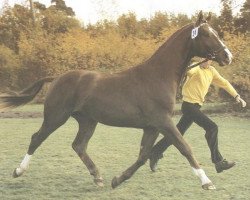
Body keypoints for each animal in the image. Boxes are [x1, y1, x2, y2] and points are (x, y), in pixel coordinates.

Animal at [0, 11, 232, 190]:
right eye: (207, 34)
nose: (228, 56)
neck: (158, 76)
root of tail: (57, 78)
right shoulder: (163, 122)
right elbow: (185, 148)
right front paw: (207, 182)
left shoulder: (152, 127)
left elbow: (143, 155)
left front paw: (117, 180)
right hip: (56, 117)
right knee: (37, 138)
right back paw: (18, 170)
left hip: (87, 121)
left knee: (78, 145)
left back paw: (98, 177)